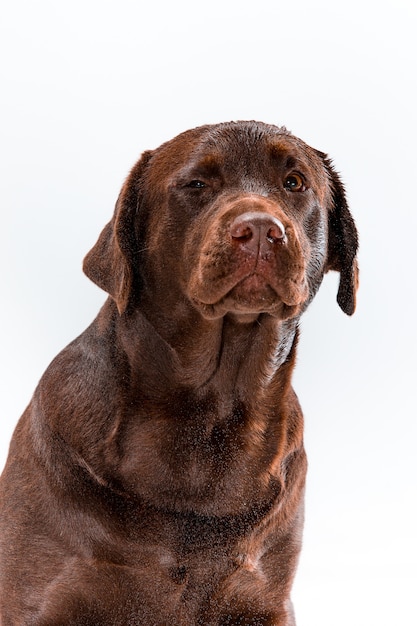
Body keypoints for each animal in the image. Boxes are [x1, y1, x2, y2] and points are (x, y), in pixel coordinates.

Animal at [0, 119, 358, 620]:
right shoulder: (40, 601)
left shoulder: (265, 600)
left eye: (294, 183)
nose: (261, 230)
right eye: (196, 185)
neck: (207, 416)